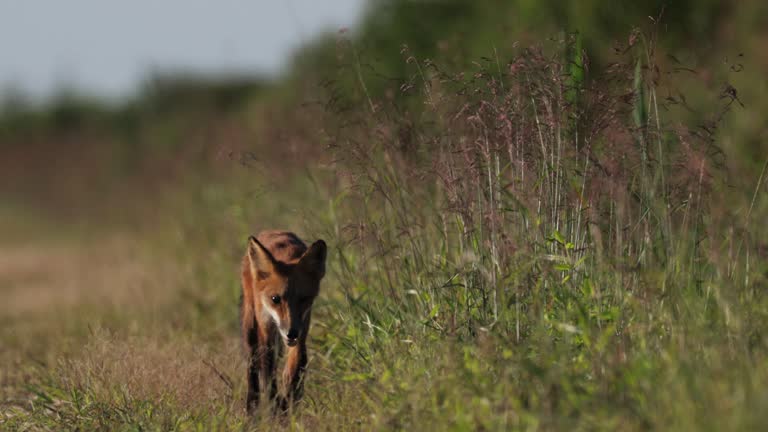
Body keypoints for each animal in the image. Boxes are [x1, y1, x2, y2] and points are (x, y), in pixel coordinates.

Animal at [238, 231, 326, 414]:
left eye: (303, 299)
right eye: (275, 299)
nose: (291, 332)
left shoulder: (302, 330)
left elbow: (295, 370)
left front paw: (287, 406)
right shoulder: (266, 330)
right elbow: (268, 374)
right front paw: (274, 408)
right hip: (251, 325)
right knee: (252, 365)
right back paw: (252, 408)